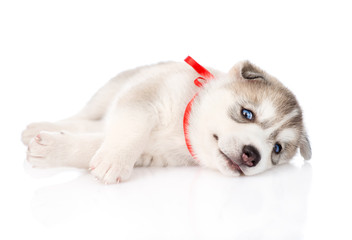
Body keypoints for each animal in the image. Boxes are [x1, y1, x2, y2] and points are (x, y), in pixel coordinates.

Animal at [22, 58, 310, 184]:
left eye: (277, 149)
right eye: (247, 113)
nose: (252, 155)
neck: (181, 130)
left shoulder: (153, 152)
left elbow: (97, 143)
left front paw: (55, 150)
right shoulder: (144, 96)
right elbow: (133, 126)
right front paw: (114, 159)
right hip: (109, 92)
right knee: (84, 117)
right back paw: (40, 127)